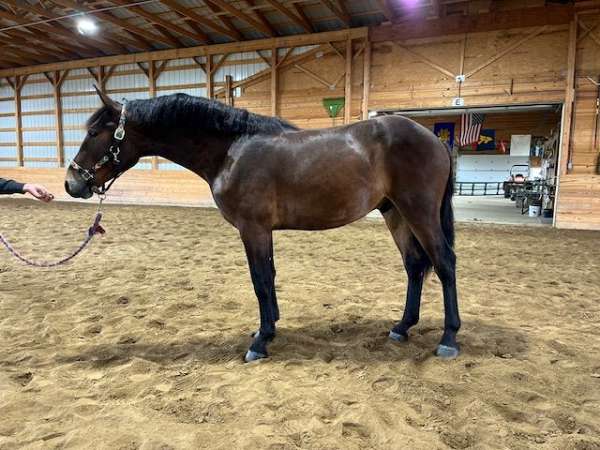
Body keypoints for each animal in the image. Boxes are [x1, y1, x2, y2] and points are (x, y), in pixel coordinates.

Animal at [65, 89, 460, 362]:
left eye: (96, 132)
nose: (72, 183)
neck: (231, 150)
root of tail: (434, 139)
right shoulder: (260, 231)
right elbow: (268, 277)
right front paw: (267, 329)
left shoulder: (252, 228)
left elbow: (259, 279)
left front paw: (260, 341)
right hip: (395, 213)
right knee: (414, 265)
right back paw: (402, 327)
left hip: (418, 211)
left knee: (444, 263)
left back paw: (448, 339)